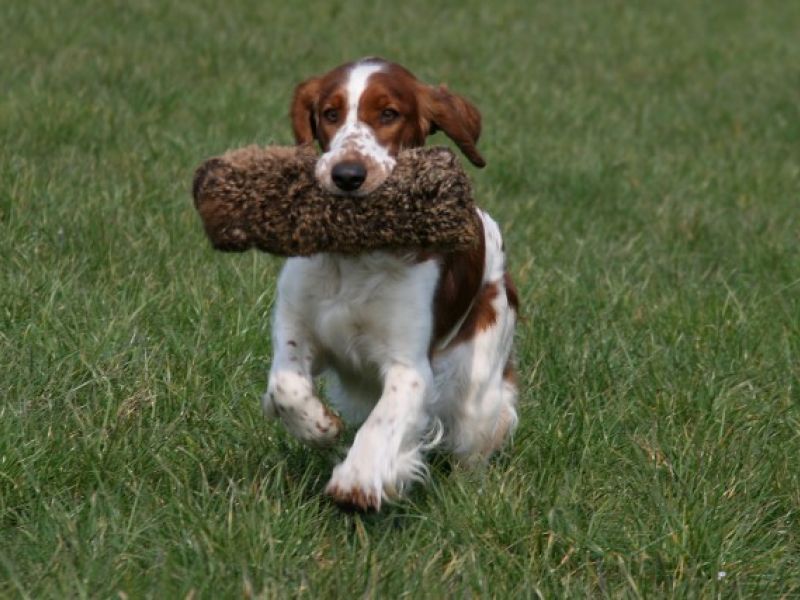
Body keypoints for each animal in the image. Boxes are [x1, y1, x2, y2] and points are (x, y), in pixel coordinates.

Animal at [262, 57, 519, 510]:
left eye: (388, 114)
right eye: (330, 113)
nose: (348, 174)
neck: (357, 257)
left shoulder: (408, 363)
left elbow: (384, 420)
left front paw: (358, 479)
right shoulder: (297, 325)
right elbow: (285, 385)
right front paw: (318, 427)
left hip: (477, 385)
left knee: (477, 442)